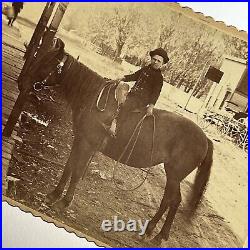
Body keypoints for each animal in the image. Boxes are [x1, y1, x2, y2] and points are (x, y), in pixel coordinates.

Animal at [20, 39, 214, 244]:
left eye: (47, 62)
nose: (22, 82)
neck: (93, 99)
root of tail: (205, 138)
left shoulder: (88, 144)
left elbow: (78, 170)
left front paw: (64, 202)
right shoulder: (79, 140)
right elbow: (69, 166)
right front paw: (54, 195)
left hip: (175, 174)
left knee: (173, 201)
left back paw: (157, 236)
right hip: (173, 174)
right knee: (168, 200)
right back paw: (150, 231)